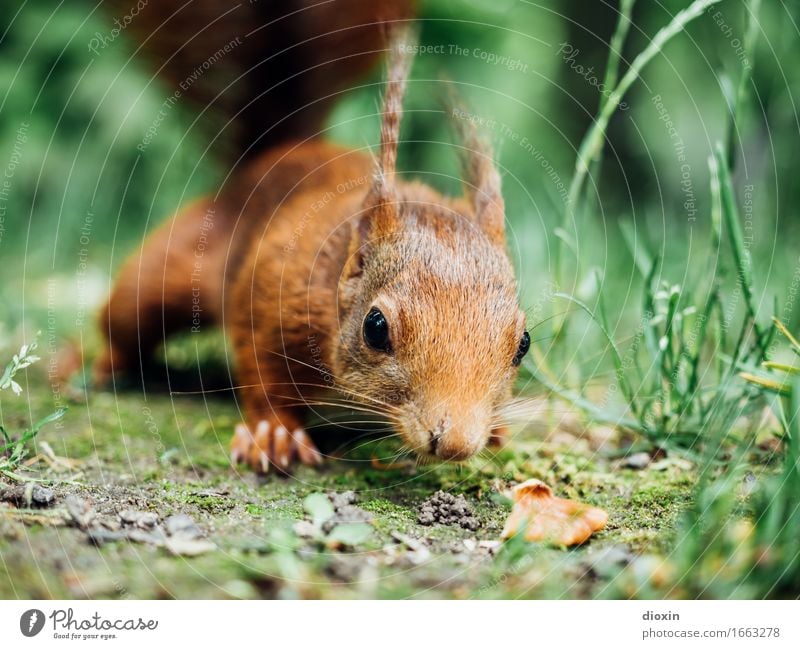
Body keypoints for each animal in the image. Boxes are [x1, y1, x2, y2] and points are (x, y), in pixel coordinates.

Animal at [95, 2, 532, 474]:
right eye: (375, 327)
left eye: (523, 344)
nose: (454, 444)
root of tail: (280, 151)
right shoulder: (274, 292)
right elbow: (262, 370)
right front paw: (272, 432)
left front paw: (499, 431)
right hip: (176, 265)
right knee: (125, 316)